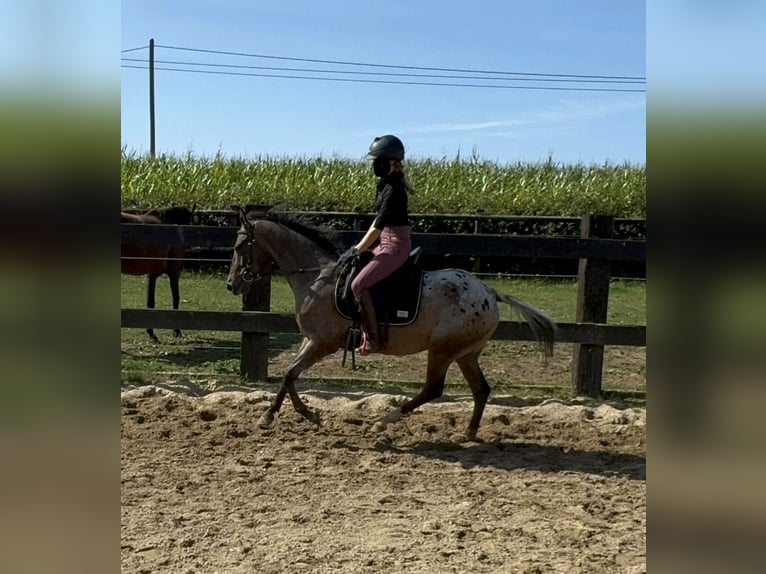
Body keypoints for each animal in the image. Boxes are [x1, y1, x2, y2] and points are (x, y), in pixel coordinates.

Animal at [121, 207, 196, 342]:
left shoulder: (151, 274)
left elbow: (150, 302)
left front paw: (151, 333)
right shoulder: (174, 272)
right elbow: (175, 298)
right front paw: (176, 330)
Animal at [225, 209, 556, 444]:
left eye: (240, 246)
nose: (231, 285)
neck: (319, 276)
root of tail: (489, 292)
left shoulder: (323, 343)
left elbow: (291, 374)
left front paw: (293, 415)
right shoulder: (311, 340)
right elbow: (288, 375)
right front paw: (287, 415)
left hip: (442, 350)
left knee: (432, 389)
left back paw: (383, 421)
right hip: (466, 353)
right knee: (481, 390)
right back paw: (469, 433)